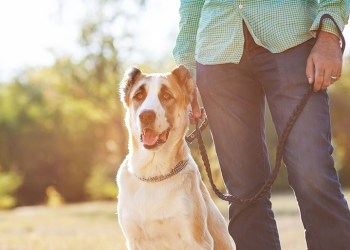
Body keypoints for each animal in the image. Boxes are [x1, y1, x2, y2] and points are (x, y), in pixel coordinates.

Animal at [116, 65, 234, 249]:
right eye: (139, 96)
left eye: (166, 96)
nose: (146, 115)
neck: (153, 174)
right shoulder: (134, 240)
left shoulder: (197, 241)